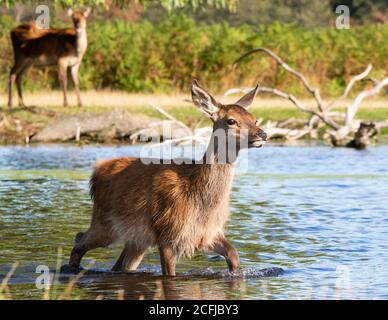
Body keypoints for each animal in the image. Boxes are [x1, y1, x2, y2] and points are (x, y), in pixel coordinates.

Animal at [65, 79, 268, 276]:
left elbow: (233, 254)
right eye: (231, 120)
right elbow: (170, 274)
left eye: (255, 119)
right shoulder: (168, 233)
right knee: (79, 239)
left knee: (120, 264)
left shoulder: (208, 233)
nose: (263, 134)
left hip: (137, 238)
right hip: (105, 223)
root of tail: (96, 171)